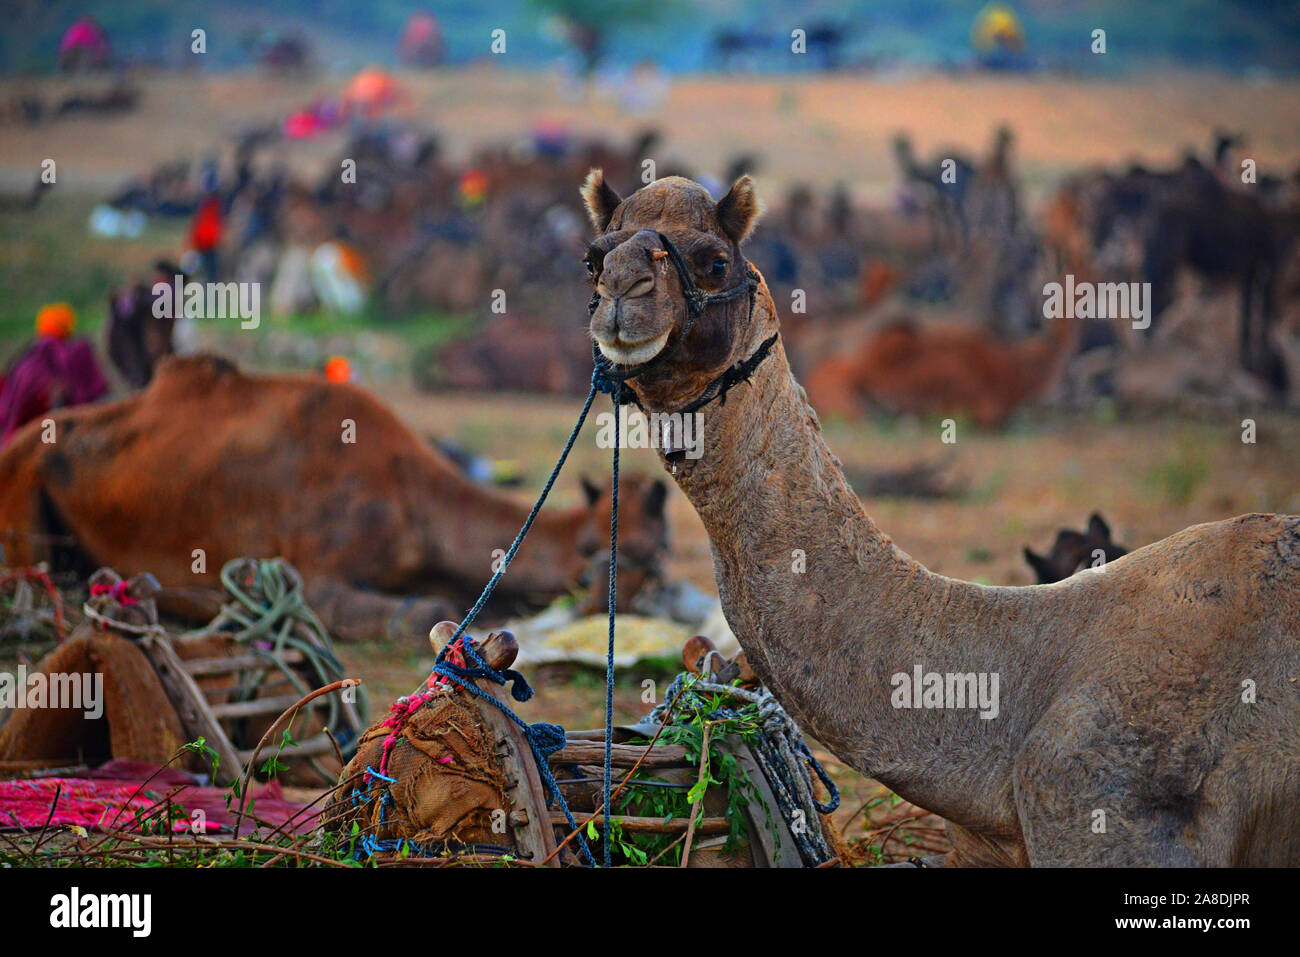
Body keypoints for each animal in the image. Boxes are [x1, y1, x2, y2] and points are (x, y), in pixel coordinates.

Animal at [0, 356, 665, 639]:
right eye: (603, 550)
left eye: (655, 558)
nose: (620, 600)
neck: (409, 496)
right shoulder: (313, 571)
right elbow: (425, 609)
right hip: (24, 481)